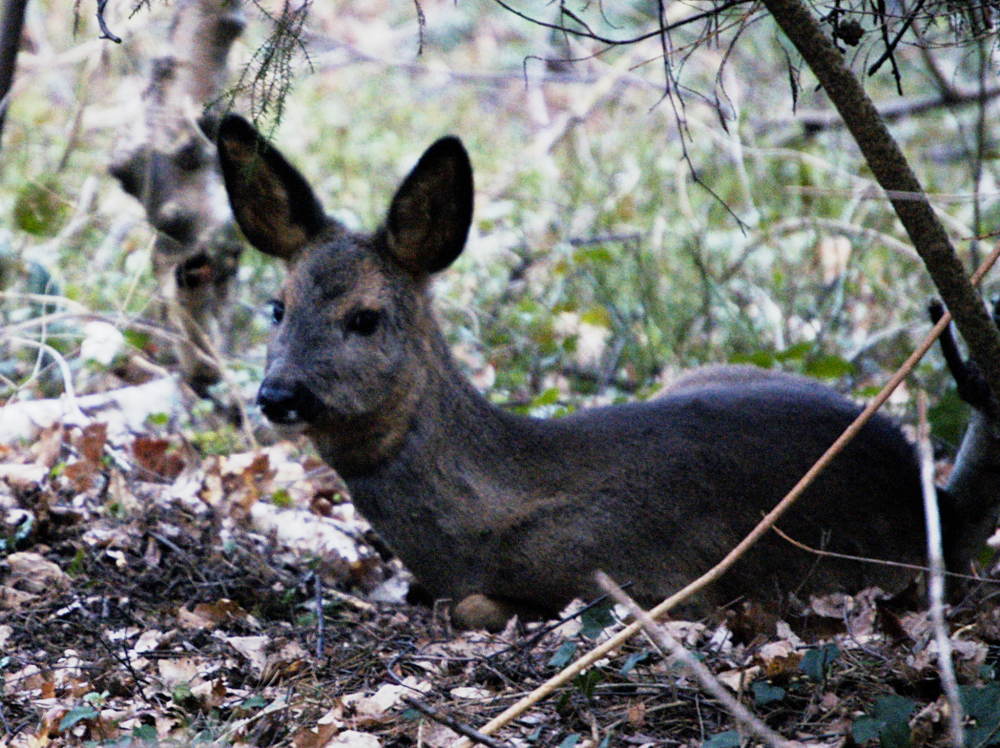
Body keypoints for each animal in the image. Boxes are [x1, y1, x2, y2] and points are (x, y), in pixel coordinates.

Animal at [215, 114, 1000, 632]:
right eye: (276, 306)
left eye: (366, 318)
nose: (278, 393)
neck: (481, 521)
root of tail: (935, 494)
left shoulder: (659, 585)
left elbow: (472, 604)